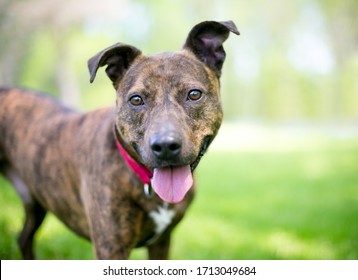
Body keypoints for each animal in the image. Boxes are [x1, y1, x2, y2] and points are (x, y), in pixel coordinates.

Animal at [0, 20, 241, 260]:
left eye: (194, 94)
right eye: (136, 100)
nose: (165, 146)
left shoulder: (161, 242)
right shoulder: (111, 247)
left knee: (24, 238)